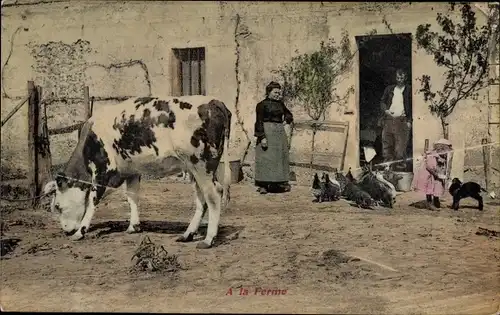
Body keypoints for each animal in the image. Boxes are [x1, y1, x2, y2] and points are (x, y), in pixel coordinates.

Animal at [42, 95, 232, 249]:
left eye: (57, 206)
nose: (65, 231)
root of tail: (215, 102)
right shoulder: (131, 171)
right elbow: (132, 198)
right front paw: (133, 227)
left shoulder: (103, 170)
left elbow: (92, 202)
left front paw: (80, 232)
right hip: (194, 168)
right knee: (201, 200)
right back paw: (187, 234)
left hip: (201, 165)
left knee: (214, 195)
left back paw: (208, 239)